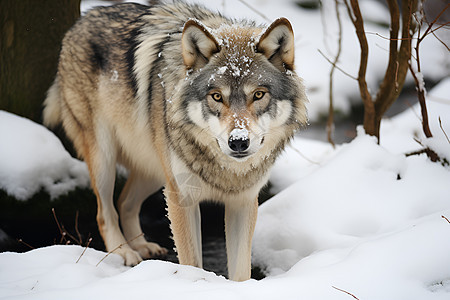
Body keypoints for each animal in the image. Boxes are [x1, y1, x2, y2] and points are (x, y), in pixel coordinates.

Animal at [42, 1, 308, 282]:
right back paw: (124, 252)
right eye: (216, 96)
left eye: (258, 94)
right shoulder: (183, 198)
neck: (226, 170)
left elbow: (241, 271)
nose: (238, 142)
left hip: (156, 169)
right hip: (106, 159)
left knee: (125, 202)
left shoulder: (242, 202)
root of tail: (84, 18)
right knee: (105, 212)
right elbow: (192, 263)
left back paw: (142, 246)